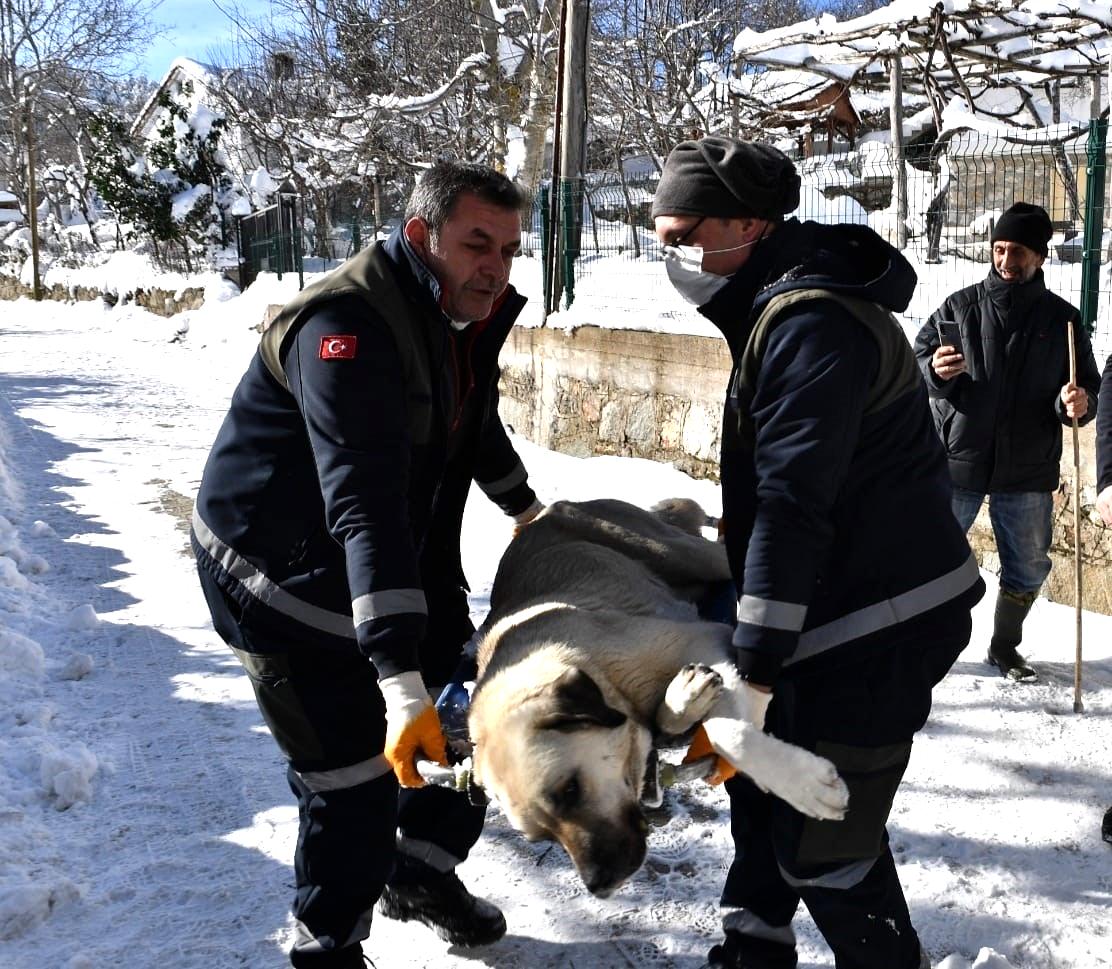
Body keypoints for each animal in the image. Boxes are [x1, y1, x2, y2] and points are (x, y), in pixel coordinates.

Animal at [464, 500, 845, 903]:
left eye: (569, 790)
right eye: (540, 836)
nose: (600, 885)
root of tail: (547, 512)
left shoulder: (702, 637)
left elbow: (728, 732)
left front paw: (803, 784)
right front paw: (684, 700)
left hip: (683, 553)